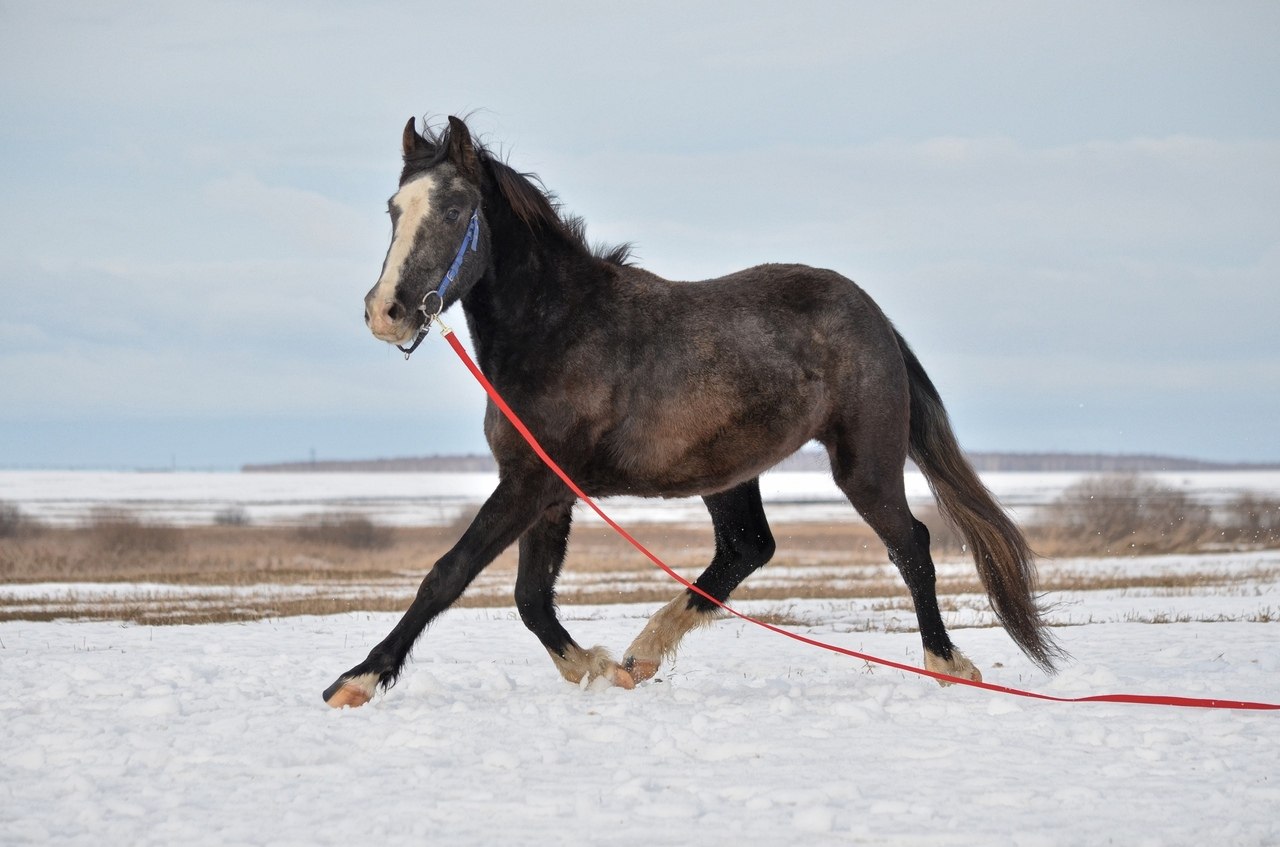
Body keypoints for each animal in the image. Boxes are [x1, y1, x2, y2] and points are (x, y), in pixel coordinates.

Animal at [325, 114, 1064, 711]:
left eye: (455, 209)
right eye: (394, 208)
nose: (385, 312)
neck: (557, 328)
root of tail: (874, 316)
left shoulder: (529, 484)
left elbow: (448, 574)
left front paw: (355, 681)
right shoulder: (546, 489)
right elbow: (530, 598)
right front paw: (597, 669)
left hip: (865, 462)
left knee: (910, 544)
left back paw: (948, 663)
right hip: (729, 471)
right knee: (747, 548)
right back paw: (643, 652)